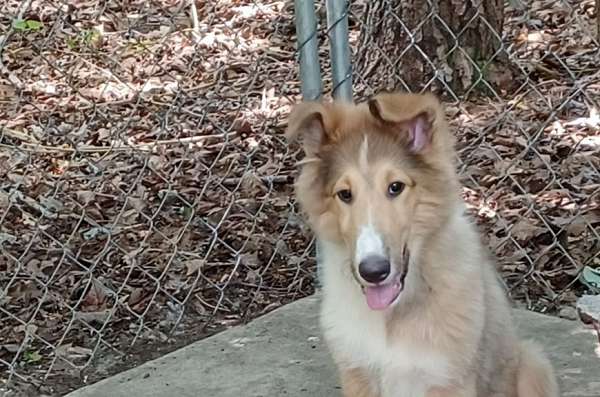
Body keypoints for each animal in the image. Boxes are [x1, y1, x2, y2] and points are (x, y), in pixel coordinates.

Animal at [286, 92, 556, 396]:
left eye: (395, 187)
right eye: (345, 194)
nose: (373, 271)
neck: (392, 315)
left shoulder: (449, 380)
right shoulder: (358, 373)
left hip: (534, 362)